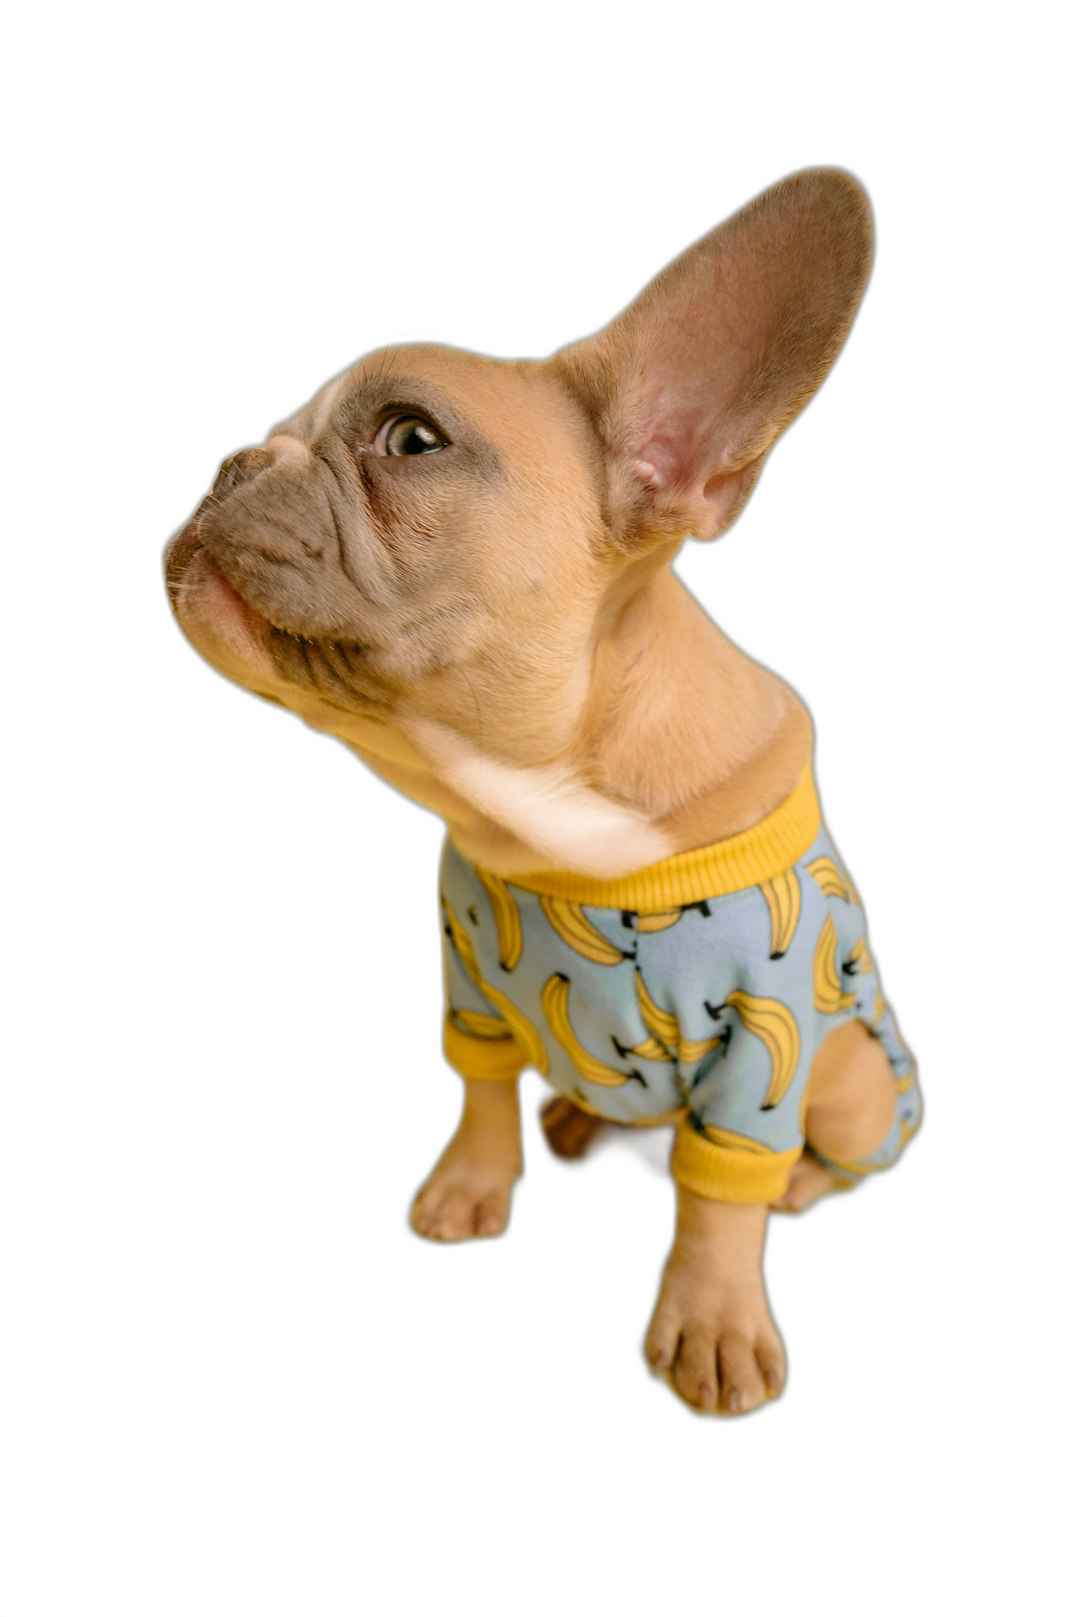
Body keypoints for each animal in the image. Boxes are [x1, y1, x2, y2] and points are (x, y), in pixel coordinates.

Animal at [164, 170, 924, 1422]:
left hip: (857, 1080)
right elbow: (479, 1088)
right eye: (271, 435)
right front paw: (470, 1185)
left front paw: (714, 1320)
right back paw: (572, 1114)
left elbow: (717, 1197)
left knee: (817, 1155)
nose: (235, 461)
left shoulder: (761, 1044)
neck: (540, 815)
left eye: (410, 438)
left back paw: (793, 1183)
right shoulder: (470, 980)